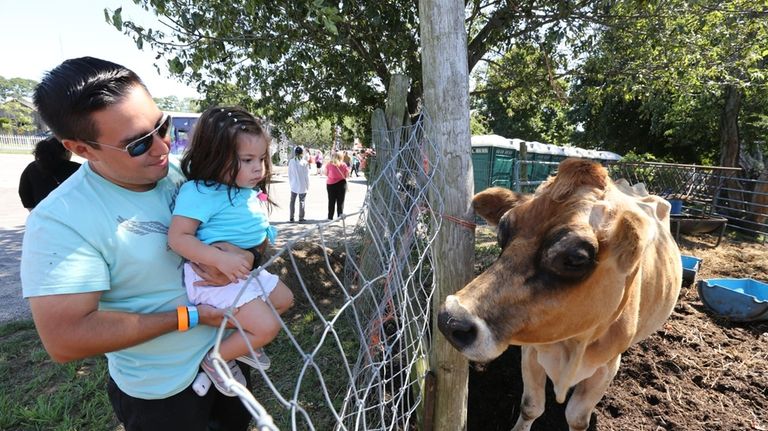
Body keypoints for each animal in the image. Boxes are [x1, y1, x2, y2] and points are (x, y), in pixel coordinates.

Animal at [436, 159, 680, 431]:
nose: (450, 319)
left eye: (575, 259)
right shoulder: (531, 352)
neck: (574, 343)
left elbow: (577, 419)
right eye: (502, 232)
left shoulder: (606, 367)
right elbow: (531, 406)